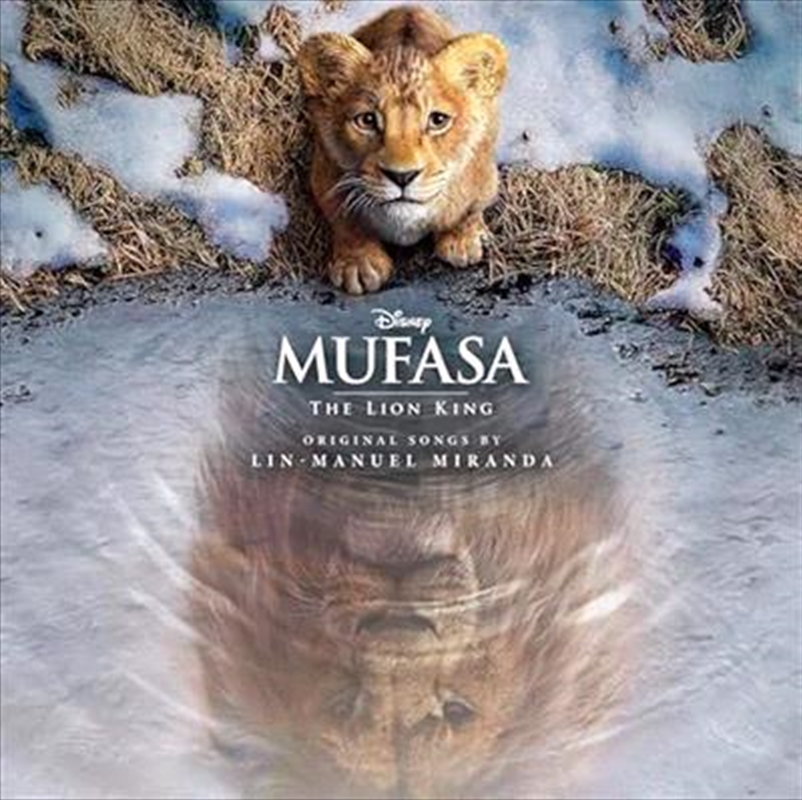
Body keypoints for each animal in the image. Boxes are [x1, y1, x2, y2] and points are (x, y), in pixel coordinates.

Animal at [296, 6, 508, 295]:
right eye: (367, 120)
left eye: (437, 120)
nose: (402, 176)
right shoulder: (325, 175)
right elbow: (345, 220)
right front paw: (358, 264)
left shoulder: (485, 176)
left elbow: (470, 209)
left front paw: (462, 241)